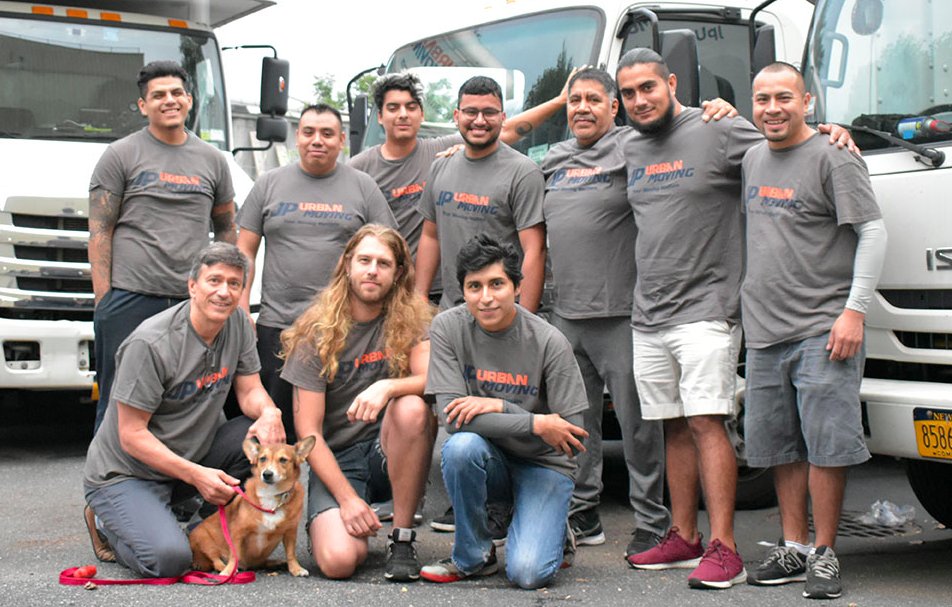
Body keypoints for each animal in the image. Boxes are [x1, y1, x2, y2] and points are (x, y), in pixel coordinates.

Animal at [189, 435, 316, 577]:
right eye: (262, 458)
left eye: (283, 460)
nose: (267, 474)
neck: (271, 495)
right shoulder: (238, 532)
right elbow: (234, 555)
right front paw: (229, 569)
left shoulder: (290, 531)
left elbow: (291, 553)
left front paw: (295, 568)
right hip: (204, 540)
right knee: (215, 559)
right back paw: (224, 568)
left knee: (261, 562)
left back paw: (276, 562)